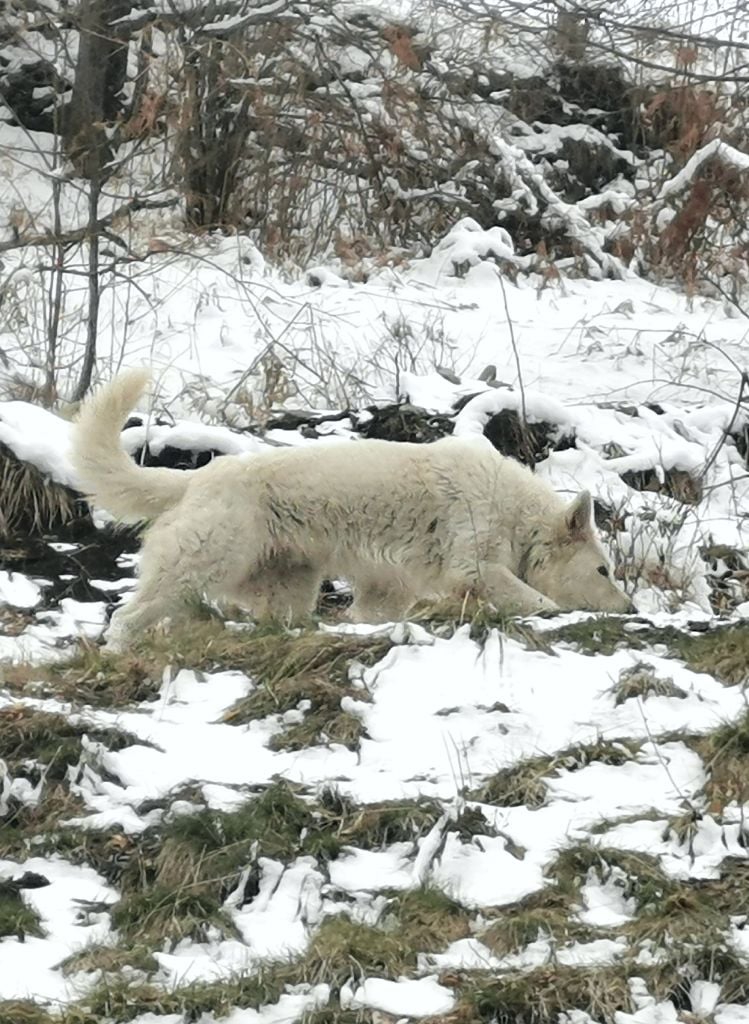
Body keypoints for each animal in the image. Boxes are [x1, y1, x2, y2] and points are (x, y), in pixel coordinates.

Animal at [70, 369, 633, 650]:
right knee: (129, 615)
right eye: (603, 570)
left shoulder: (387, 587)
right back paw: (117, 651)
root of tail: (196, 479)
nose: (631, 610)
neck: (516, 514)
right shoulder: (473, 563)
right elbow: (539, 601)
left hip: (289, 585)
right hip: (202, 563)